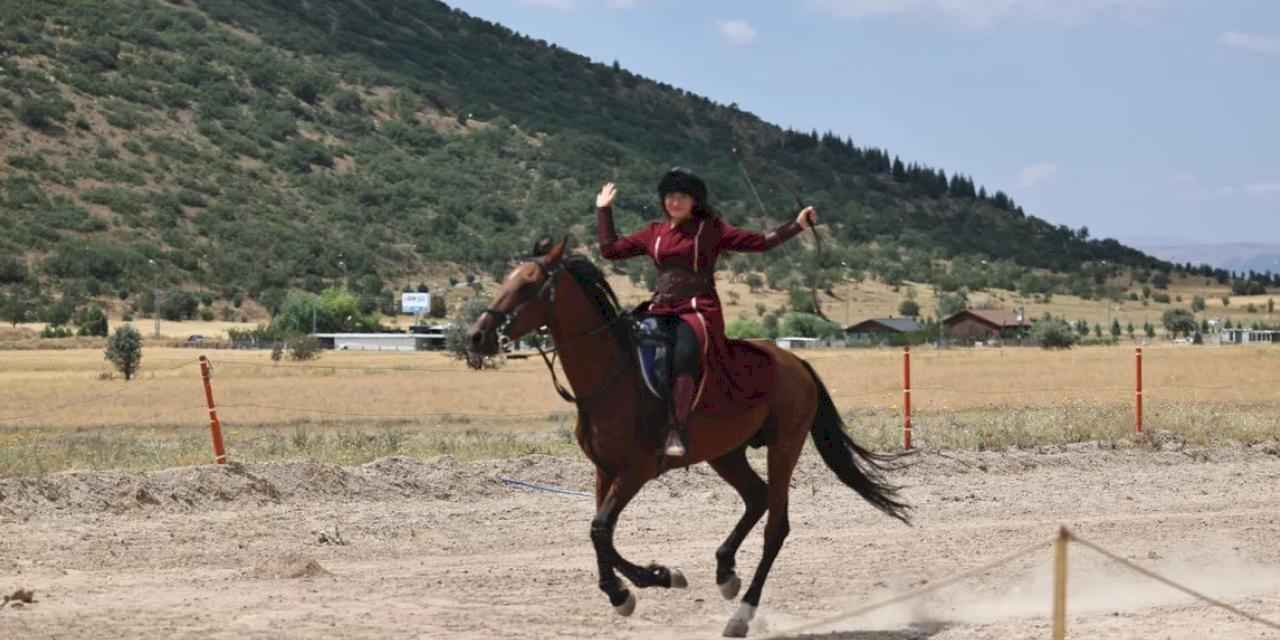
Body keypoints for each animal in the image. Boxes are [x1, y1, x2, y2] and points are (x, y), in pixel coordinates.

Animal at [468, 239, 911, 634]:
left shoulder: (636, 471)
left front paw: (655, 577)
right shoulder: (604, 470)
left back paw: (741, 615)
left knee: (776, 526)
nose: (476, 337)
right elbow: (600, 534)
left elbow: (600, 530)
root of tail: (796, 362)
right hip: (726, 453)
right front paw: (627, 590)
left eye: (528, 283)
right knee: (757, 497)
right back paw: (725, 571)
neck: (614, 377)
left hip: (784, 446)